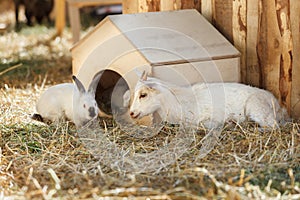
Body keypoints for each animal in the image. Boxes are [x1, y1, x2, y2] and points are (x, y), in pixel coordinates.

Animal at [127, 71, 288, 129]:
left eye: (143, 95)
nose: (132, 113)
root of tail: (278, 104)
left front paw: (228, 123)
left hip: (257, 108)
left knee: (273, 126)